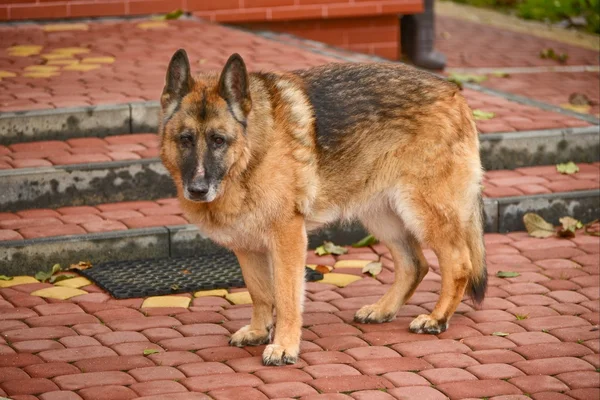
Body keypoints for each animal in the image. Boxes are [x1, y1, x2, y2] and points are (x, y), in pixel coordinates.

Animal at [159, 50, 488, 366]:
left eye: (218, 140)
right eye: (185, 140)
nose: (197, 190)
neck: (251, 155)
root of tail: (454, 92)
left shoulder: (288, 239)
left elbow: (287, 299)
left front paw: (284, 346)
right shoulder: (247, 247)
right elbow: (260, 293)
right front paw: (258, 331)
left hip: (423, 214)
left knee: (459, 264)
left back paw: (437, 318)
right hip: (383, 217)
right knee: (415, 265)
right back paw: (383, 310)